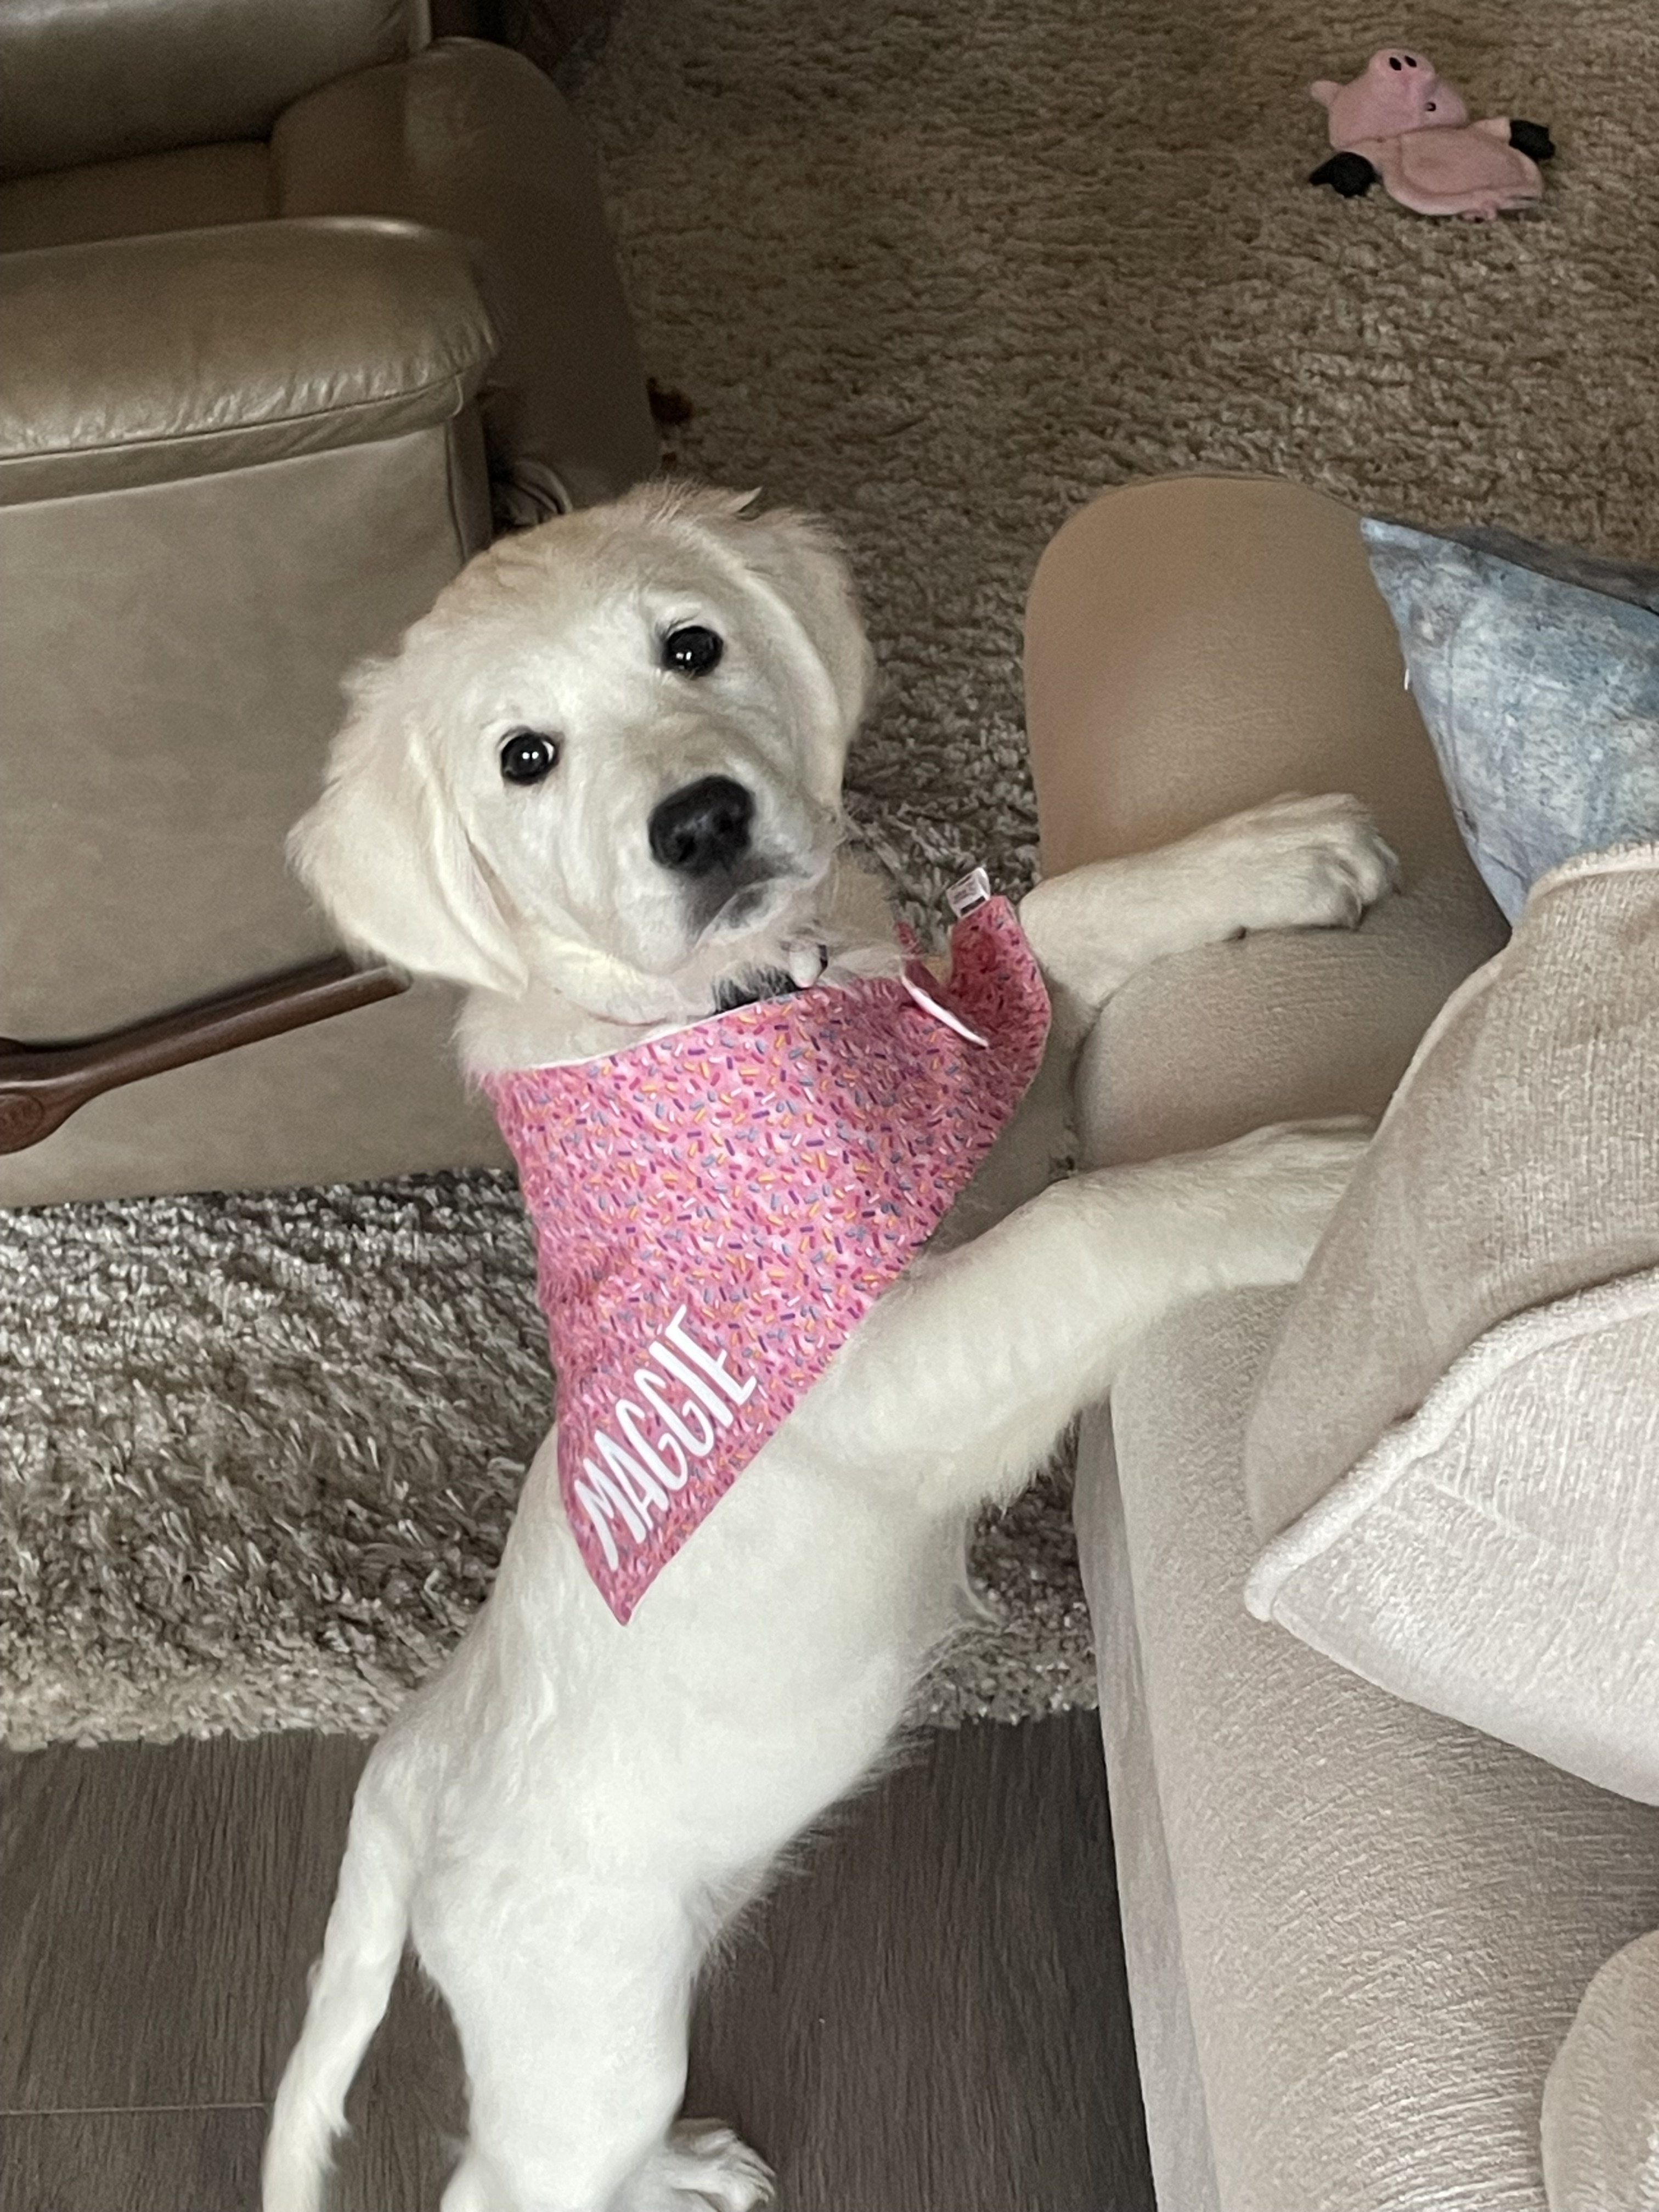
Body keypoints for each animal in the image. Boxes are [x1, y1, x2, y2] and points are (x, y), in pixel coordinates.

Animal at [263, 483, 1395, 2212]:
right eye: (526, 756)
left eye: (692, 646)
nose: (701, 822)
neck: (724, 1014)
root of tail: (408, 1774)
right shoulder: (868, 1358)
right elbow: (1096, 1220)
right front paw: (1310, 1180)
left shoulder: (948, 1151)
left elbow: (1042, 934)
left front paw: (1258, 855)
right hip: (588, 2036)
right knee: (504, 2182)